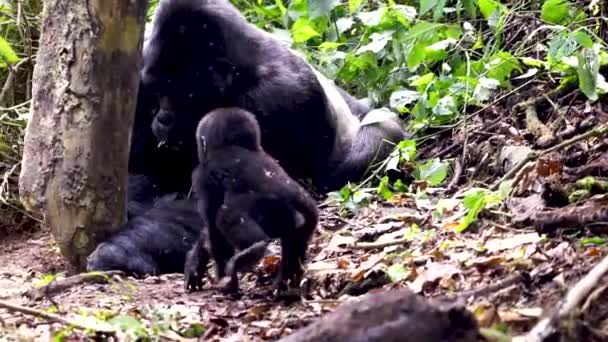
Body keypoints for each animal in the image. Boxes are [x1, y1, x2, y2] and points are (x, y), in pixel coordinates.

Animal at [138, 0, 408, 192]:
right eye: (157, 90)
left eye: (182, 93)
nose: (163, 119)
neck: (241, 73)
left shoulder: (280, 97)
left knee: (380, 133)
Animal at [184, 108, 318, 296]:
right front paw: (196, 261)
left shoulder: (202, 176)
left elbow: (213, 226)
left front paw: (221, 277)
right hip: (304, 218)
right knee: (295, 240)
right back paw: (286, 280)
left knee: (226, 215)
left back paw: (252, 252)